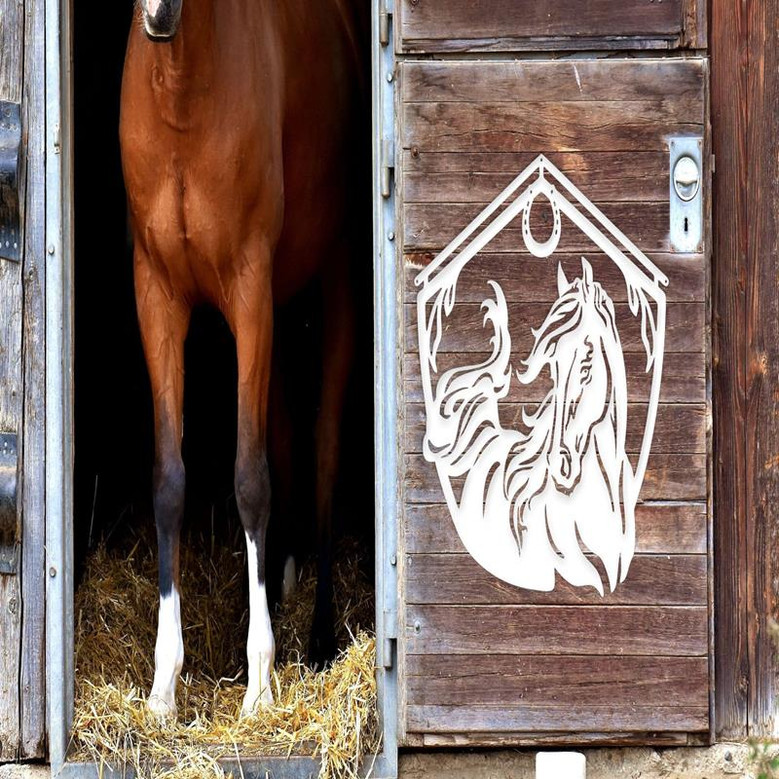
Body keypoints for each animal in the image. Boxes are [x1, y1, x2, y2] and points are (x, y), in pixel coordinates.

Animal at [119, 0, 365, 719]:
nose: (159, 14)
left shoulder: (249, 288)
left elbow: (251, 478)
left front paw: (259, 680)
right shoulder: (157, 295)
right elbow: (169, 480)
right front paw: (164, 683)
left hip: (335, 278)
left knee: (323, 446)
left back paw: (317, 635)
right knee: (283, 428)